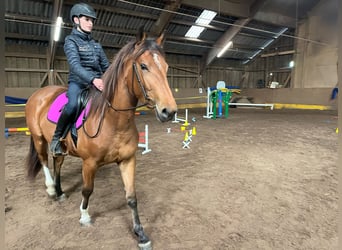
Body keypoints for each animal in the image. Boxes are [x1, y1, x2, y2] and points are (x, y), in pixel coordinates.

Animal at [25, 28, 178, 248]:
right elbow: (87, 190)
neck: (113, 121)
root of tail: (39, 94)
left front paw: (141, 234)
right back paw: (52, 189)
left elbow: (131, 196)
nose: (169, 112)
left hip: (61, 146)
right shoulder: (89, 163)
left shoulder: (127, 160)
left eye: (165, 67)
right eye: (143, 66)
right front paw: (84, 217)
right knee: (45, 161)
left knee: (57, 162)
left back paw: (60, 192)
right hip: (38, 139)